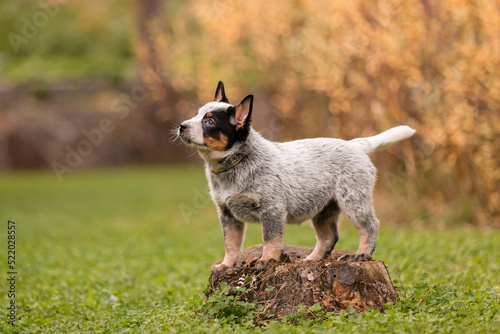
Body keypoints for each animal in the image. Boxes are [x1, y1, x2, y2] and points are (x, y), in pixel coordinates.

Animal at [178, 81, 416, 272]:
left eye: (209, 122)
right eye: (196, 114)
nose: (181, 126)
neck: (235, 165)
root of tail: (355, 144)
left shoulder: (272, 209)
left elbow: (270, 238)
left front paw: (267, 260)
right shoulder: (227, 213)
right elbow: (231, 243)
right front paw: (227, 265)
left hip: (353, 200)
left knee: (370, 225)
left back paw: (362, 254)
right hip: (324, 209)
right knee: (328, 236)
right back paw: (311, 259)